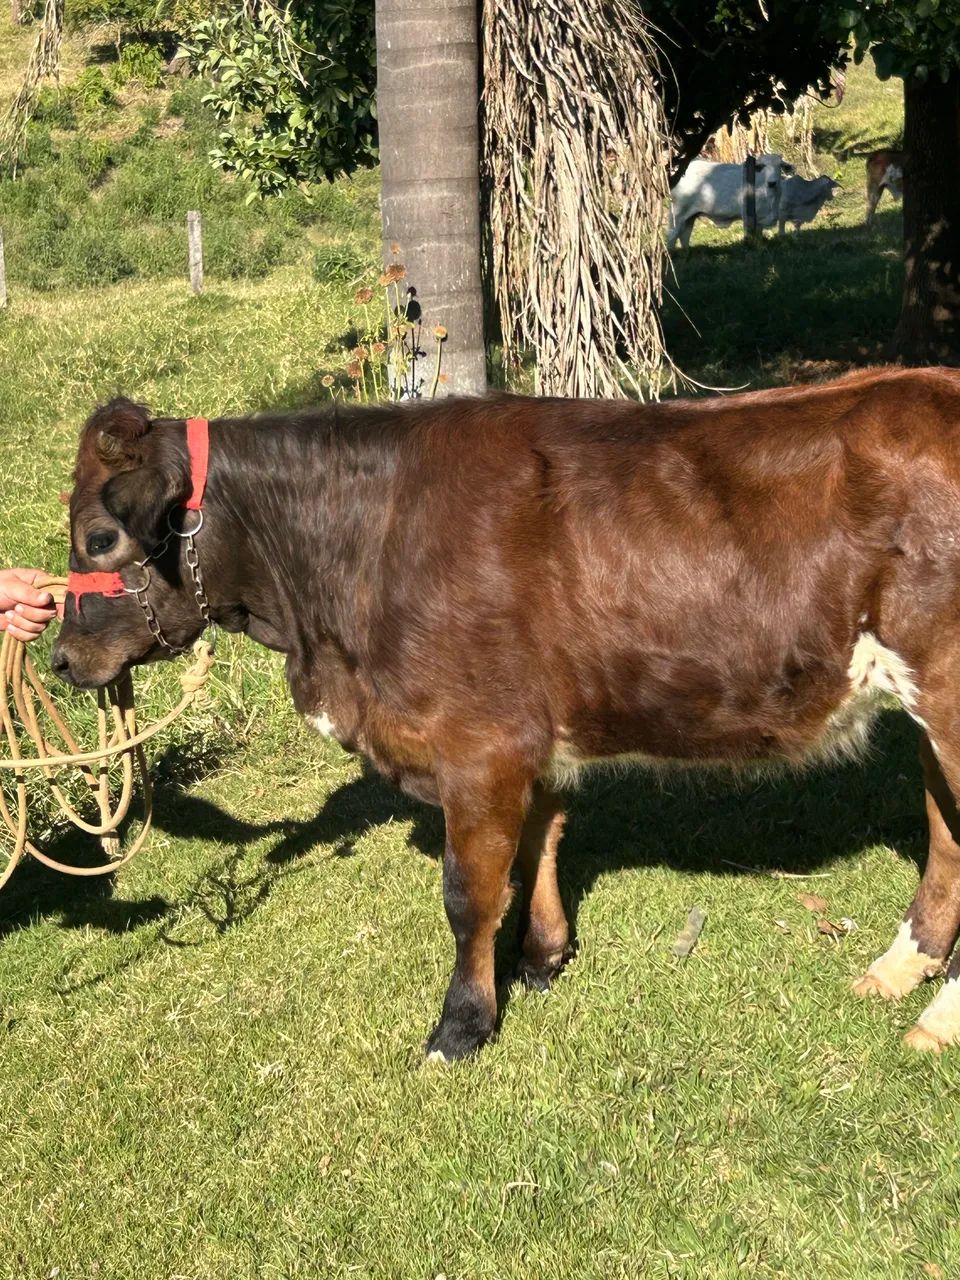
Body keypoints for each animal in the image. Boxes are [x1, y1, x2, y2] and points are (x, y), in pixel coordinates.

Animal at [53, 368, 960, 1060]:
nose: (62, 660)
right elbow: (541, 842)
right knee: (945, 835)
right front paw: (544, 957)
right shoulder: (530, 735)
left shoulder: (478, 744)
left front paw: (462, 1024)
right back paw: (900, 969)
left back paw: (935, 1019)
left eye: (98, 537)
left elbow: (470, 893)